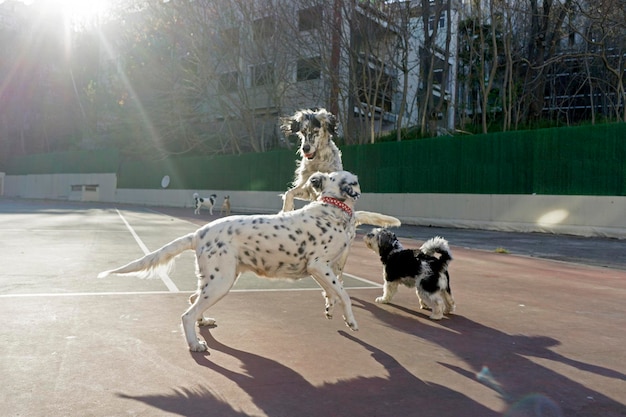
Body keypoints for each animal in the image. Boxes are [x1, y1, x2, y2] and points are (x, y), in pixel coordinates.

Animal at [99, 170, 398, 352]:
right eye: (350, 180)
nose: (314, 179)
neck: (332, 208)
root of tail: (199, 233)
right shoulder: (319, 264)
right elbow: (344, 294)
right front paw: (351, 321)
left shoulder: (322, 270)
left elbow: (332, 293)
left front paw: (330, 310)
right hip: (221, 282)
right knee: (186, 314)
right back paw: (195, 344)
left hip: (214, 281)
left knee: (193, 302)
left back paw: (204, 323)